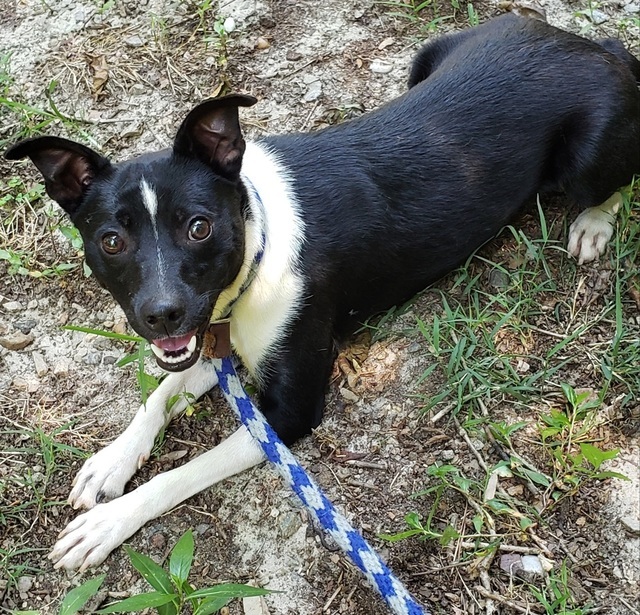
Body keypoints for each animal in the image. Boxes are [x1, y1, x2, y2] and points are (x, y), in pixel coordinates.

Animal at [5, 13, 640, 572]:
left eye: (199, 227)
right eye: (111, 241)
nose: (161, 315)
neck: (256, 244)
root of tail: (594, 45)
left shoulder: (287, 413)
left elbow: (179, 472)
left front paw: (111, 522)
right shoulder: (210, 333)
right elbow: (159, 396)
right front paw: (110, 463)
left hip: (587, 156)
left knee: (613, 185)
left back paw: (593, 224)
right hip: (427, 57)